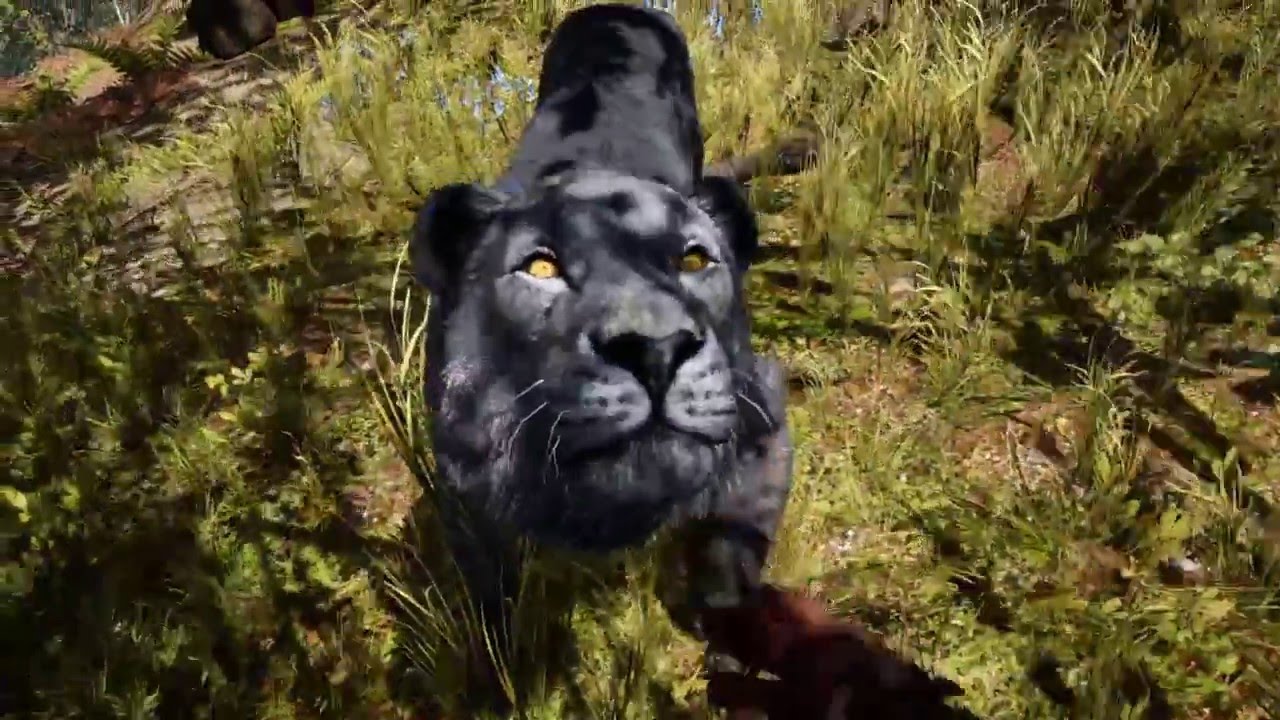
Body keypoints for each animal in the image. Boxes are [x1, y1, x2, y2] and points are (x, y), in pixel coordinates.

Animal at [409, 0, 793, 692]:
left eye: (694, 259)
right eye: (540, 268)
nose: (657, 349)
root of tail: (616, 9)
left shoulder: (764, 420)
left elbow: (730, 565)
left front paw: (734, 659)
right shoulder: (461, 490)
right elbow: (491, 602)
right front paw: (506, 677)